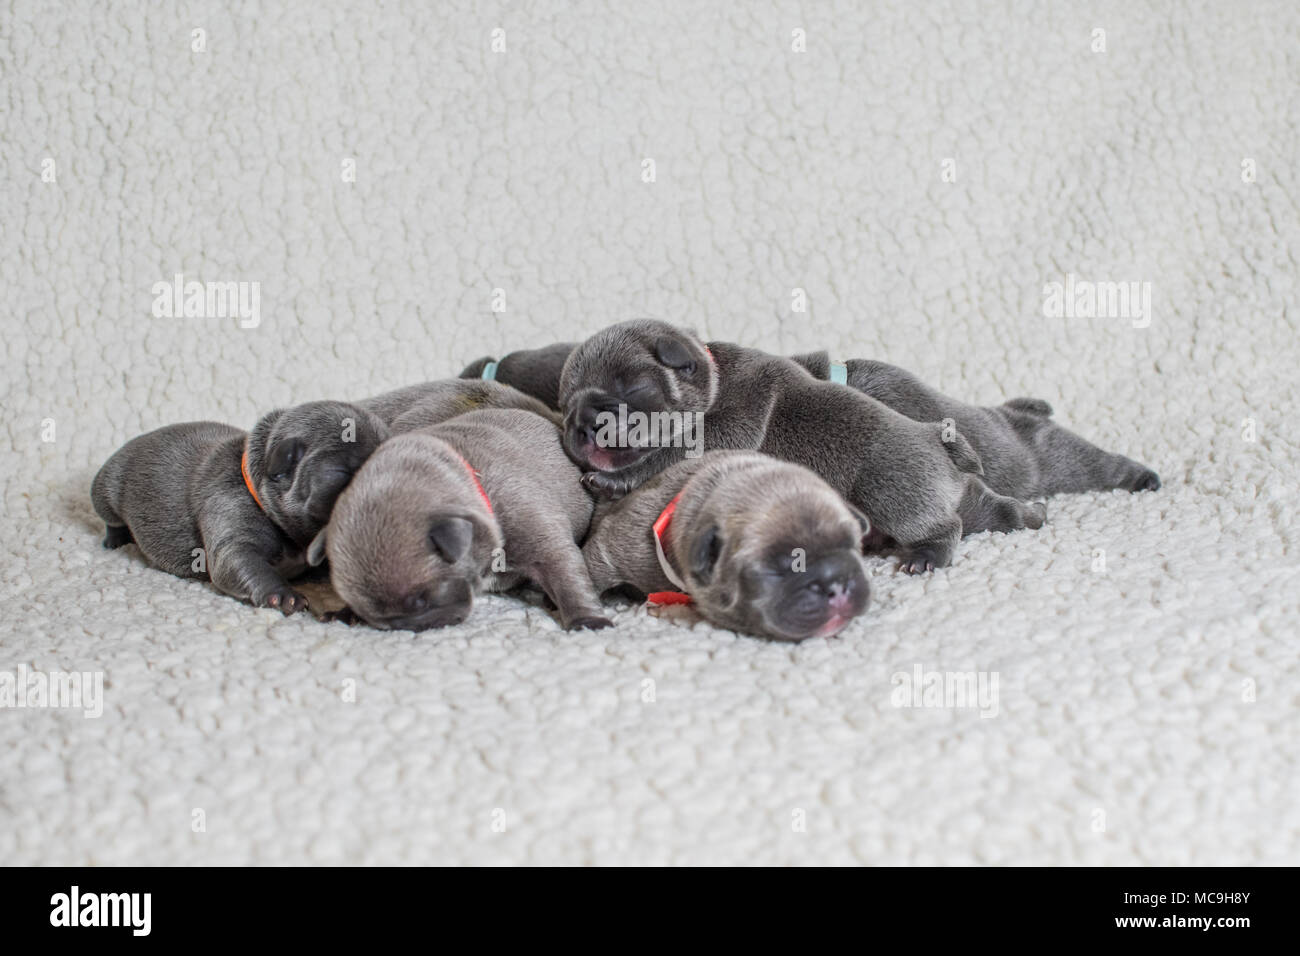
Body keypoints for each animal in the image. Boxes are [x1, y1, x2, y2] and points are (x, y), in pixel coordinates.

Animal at [91, 421, 309, 613]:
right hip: (108, 485)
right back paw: (115, 539)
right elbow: (242, 562)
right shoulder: (229, 509)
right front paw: (285, 596)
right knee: (111, 517)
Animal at [306, 408, 611, 632]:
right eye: (369, 613)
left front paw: (587, 620)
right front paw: (345, 613)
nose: (403, 627)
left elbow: (568, 580)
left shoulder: (545, 542)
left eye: (420, 602)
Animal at [559, 321, 1045, 574]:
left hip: (893, 491)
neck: (715, 380)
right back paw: (1027, 515)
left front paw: (615, 480)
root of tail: (936, 440)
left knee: (944, 525)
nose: (582, 423)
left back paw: (927, 557)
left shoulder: (733, 418)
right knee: (983, 510)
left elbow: (667, 453)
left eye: (632, 388)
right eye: (564, 407)